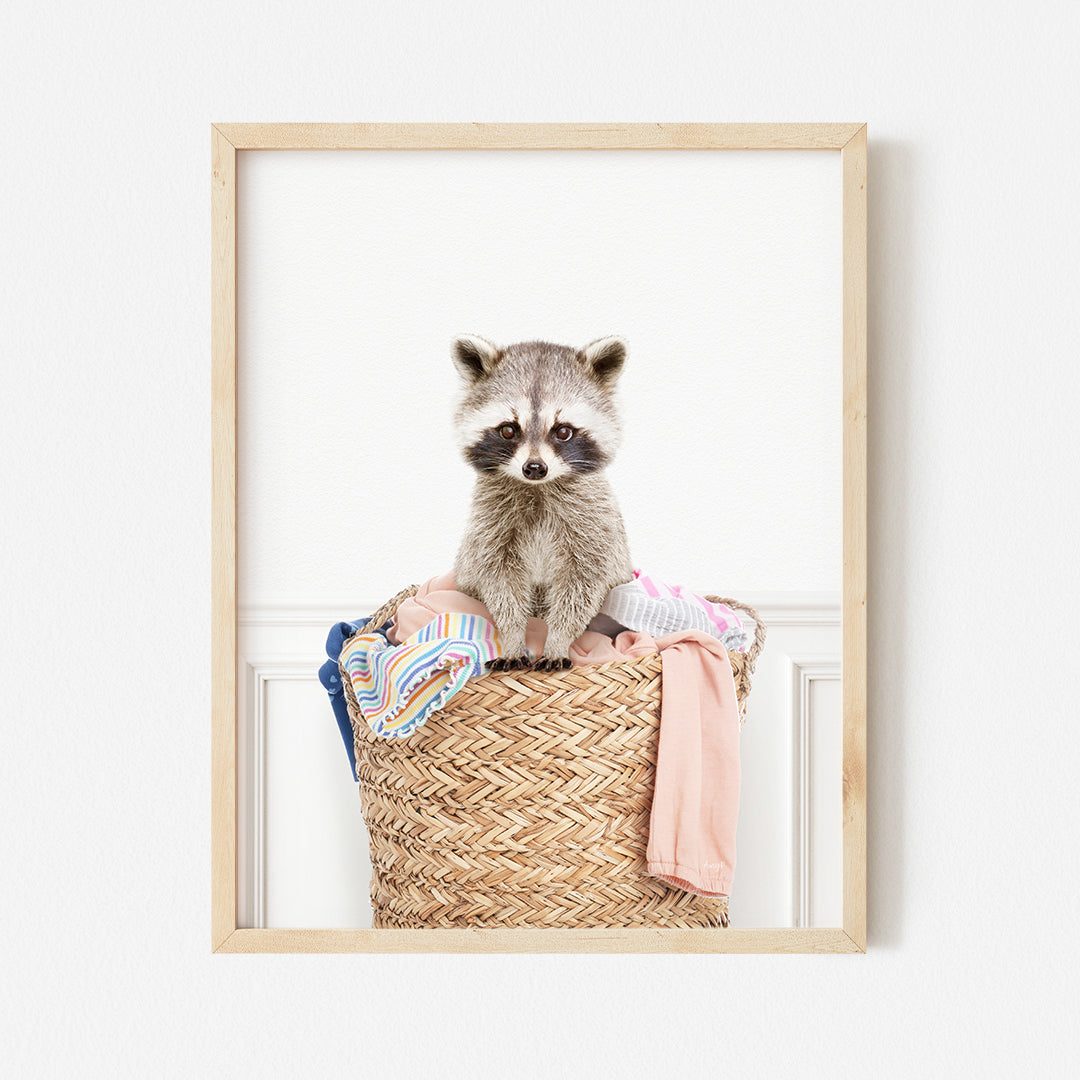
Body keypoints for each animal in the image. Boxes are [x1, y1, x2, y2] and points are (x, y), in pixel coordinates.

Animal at [449, 332, 630, 669]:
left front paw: (558, 639)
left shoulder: (592, 523)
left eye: (563, 431)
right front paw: (512, 637)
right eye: (508, 429)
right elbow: (499, 581)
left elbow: (582, 584)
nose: (534, 468)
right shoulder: (490, 524)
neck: (538, 488)